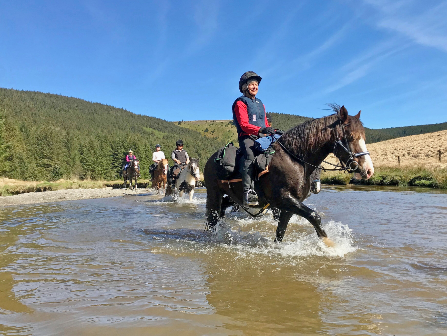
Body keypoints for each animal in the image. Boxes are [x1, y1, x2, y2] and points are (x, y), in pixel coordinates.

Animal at [204, 105, 374, 247]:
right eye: (351, 136)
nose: (369, 170)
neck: (294, 159)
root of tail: (211, 159)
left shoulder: (290, 205)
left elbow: (281, 230)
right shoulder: (283, 199)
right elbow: (314, 216)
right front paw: (331, 245)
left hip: (232, 196)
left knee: (221, 211)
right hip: (214, 193)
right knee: (213, 218)